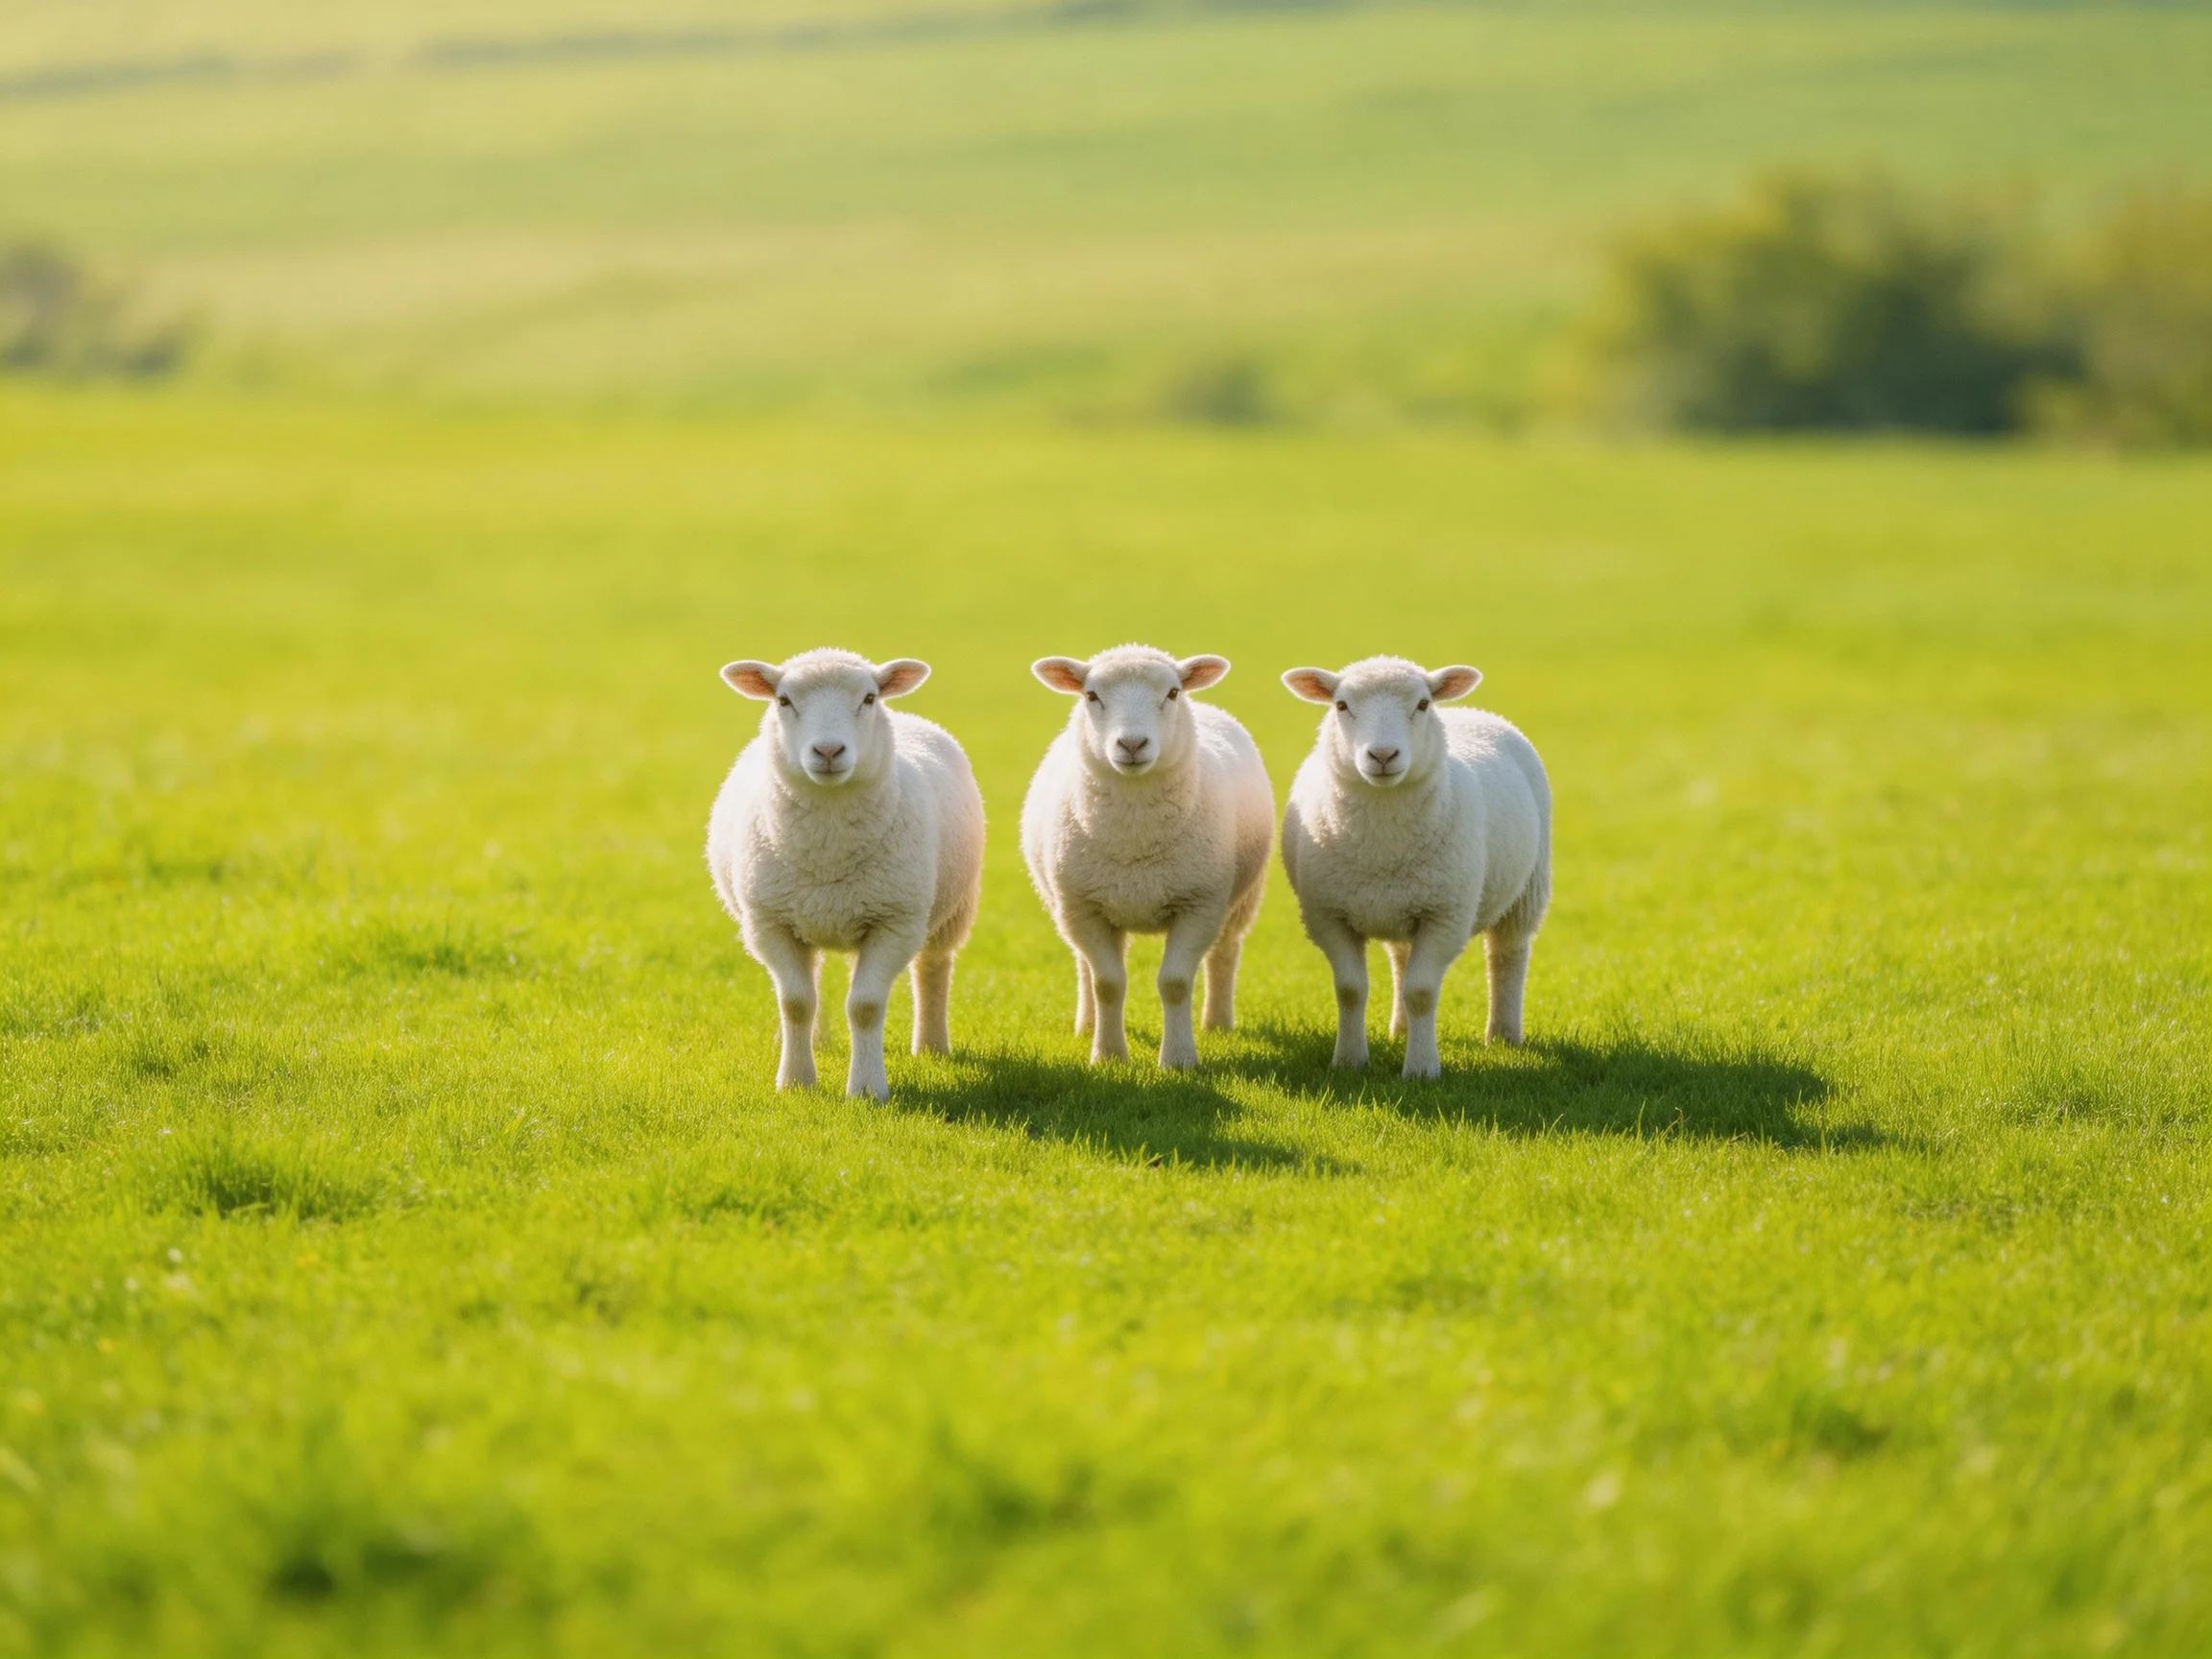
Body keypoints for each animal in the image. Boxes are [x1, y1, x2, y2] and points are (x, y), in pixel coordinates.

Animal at [706, 648, 985, 1100]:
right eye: (783, 700)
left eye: (869, 698)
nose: (828, 750)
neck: (828, 849)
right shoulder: (769, 923)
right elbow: (796, 1002)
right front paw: (796, 1081)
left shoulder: (894, 921)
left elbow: (865, 1007)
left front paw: (868, 1088)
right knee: (814, 983)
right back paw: (816, 1042)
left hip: (950, 909)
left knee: (933, 968)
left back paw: (930, 1046)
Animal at [1022, 645, 1274, 1069]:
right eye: (1091, 695)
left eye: (1172, 693)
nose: (1132, 744)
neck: (1135, 836)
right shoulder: (1082, 906)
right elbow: (1107, 983)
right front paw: (1108, 1055)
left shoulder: (1199, 904)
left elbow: (1175, 983)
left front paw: (1179, 1059)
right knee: (1084, 965)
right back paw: (1087, 1025)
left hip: (1241, 898)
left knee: (1225, 952)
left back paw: (1218, 1024)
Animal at [1279, 656, 1550, 1078]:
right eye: (1341, 705)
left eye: (1422, 704)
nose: (1383, 756)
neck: (1383, 843)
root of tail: (1470, 711)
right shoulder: (1327, 915)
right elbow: (1350, 990)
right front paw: (1349, 1061)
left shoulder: (1445, 916)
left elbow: (1421, 992)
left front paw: (1422, 1069)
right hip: (1400, 904)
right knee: (1401, 959)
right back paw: (1401, 1030)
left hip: (1527, 890)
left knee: (1507, 956)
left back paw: (1503, 1035)